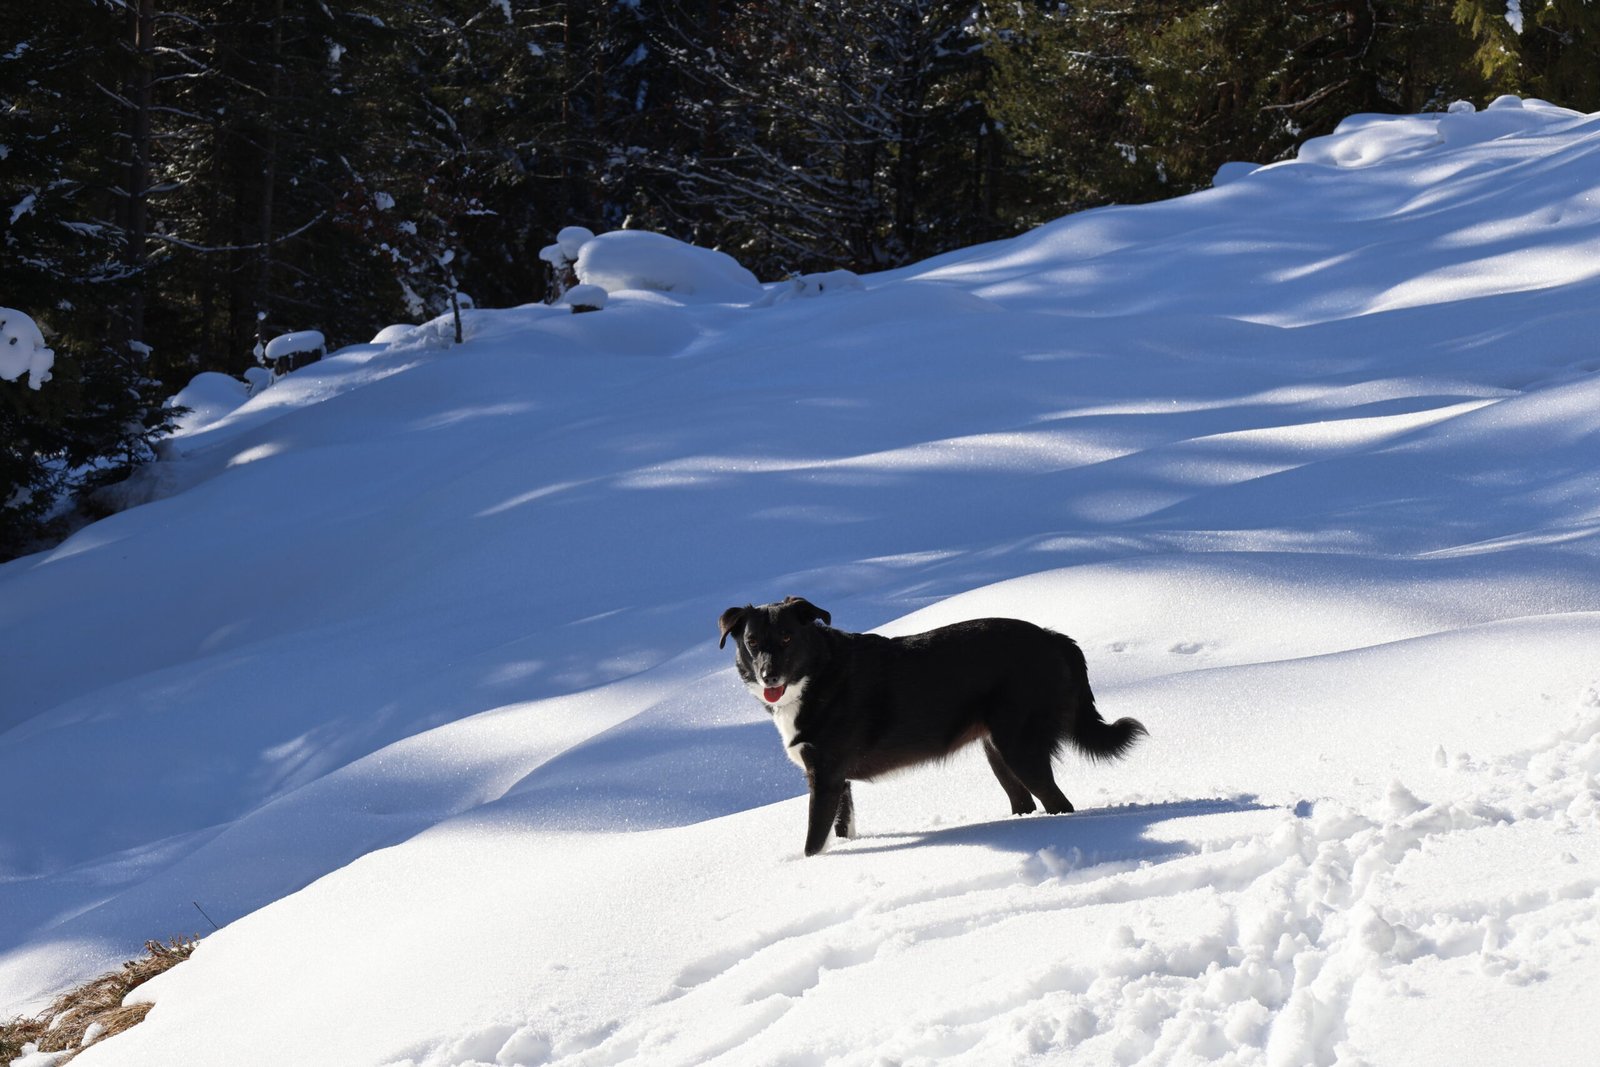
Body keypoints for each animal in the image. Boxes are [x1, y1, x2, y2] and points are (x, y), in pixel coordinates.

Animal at [720, 598, 1145, 857]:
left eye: (787, 637)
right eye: (752, 641)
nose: (768, 675)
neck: (818, 674)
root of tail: (1055, 638)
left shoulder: (824, 779)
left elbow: (813, 841)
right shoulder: (838, 780)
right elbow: (841, 830)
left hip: (1021, 746)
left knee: (1059, 804)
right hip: (997, 750)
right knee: (1024, 803)